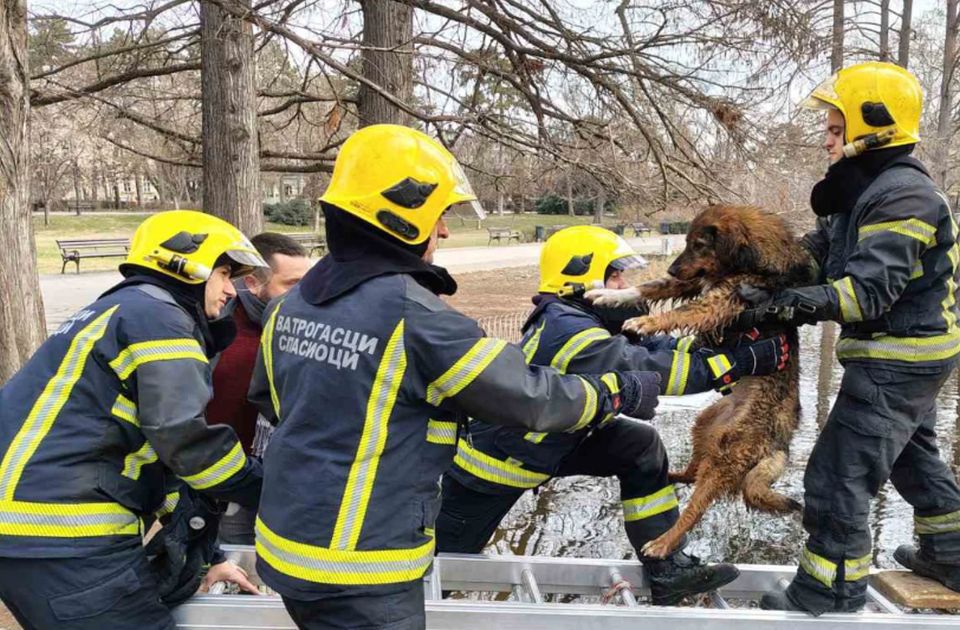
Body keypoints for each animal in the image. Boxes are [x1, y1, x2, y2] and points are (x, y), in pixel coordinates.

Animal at [588, 206, 812, 556]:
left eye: (699, 245)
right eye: (687, 242)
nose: (672, 266)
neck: (752, 259)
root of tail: (781, 442)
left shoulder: (722, 298)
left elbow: (682, 311)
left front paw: (645, 321)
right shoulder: (694, 281)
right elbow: (650, 286)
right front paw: (609, 294)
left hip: (727, 457)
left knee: (696, 508)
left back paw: (664, 542)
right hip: (706, 424)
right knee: (693, 474)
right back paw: (671, 475)